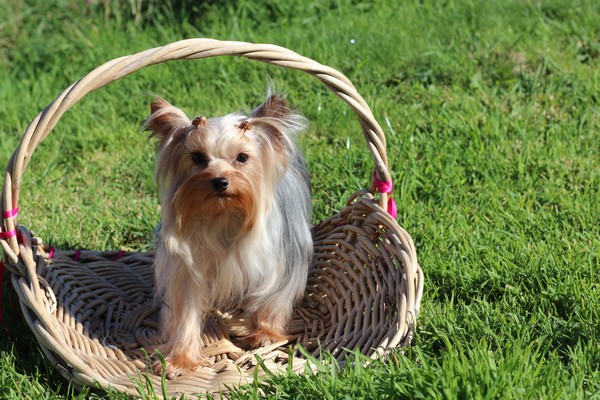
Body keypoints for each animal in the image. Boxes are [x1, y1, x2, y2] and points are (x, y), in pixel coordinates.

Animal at [145, 89, 313, 378]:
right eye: (197, 158)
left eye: (242, 158)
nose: (220, 181)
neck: (224, 214)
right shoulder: (189, 266)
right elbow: (187, 310)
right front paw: (180, 360)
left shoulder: (280, 263)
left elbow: (274, 299)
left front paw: (265, 335)